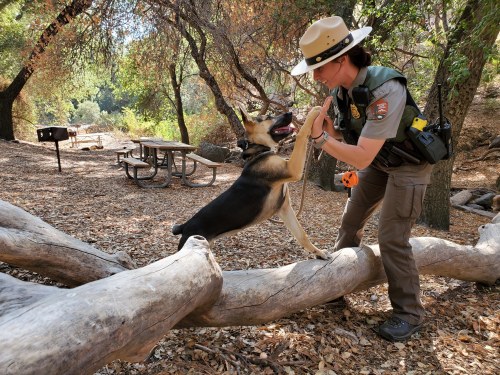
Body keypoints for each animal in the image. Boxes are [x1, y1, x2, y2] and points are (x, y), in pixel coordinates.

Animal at [172, 107, 332, 260]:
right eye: (268, 117)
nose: (290, 113)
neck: (260, 150)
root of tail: (184, 226)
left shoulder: (285, 208)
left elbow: (302, 235)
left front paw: (318, 252)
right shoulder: (292, 168)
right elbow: (301, 135)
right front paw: (315, 111)